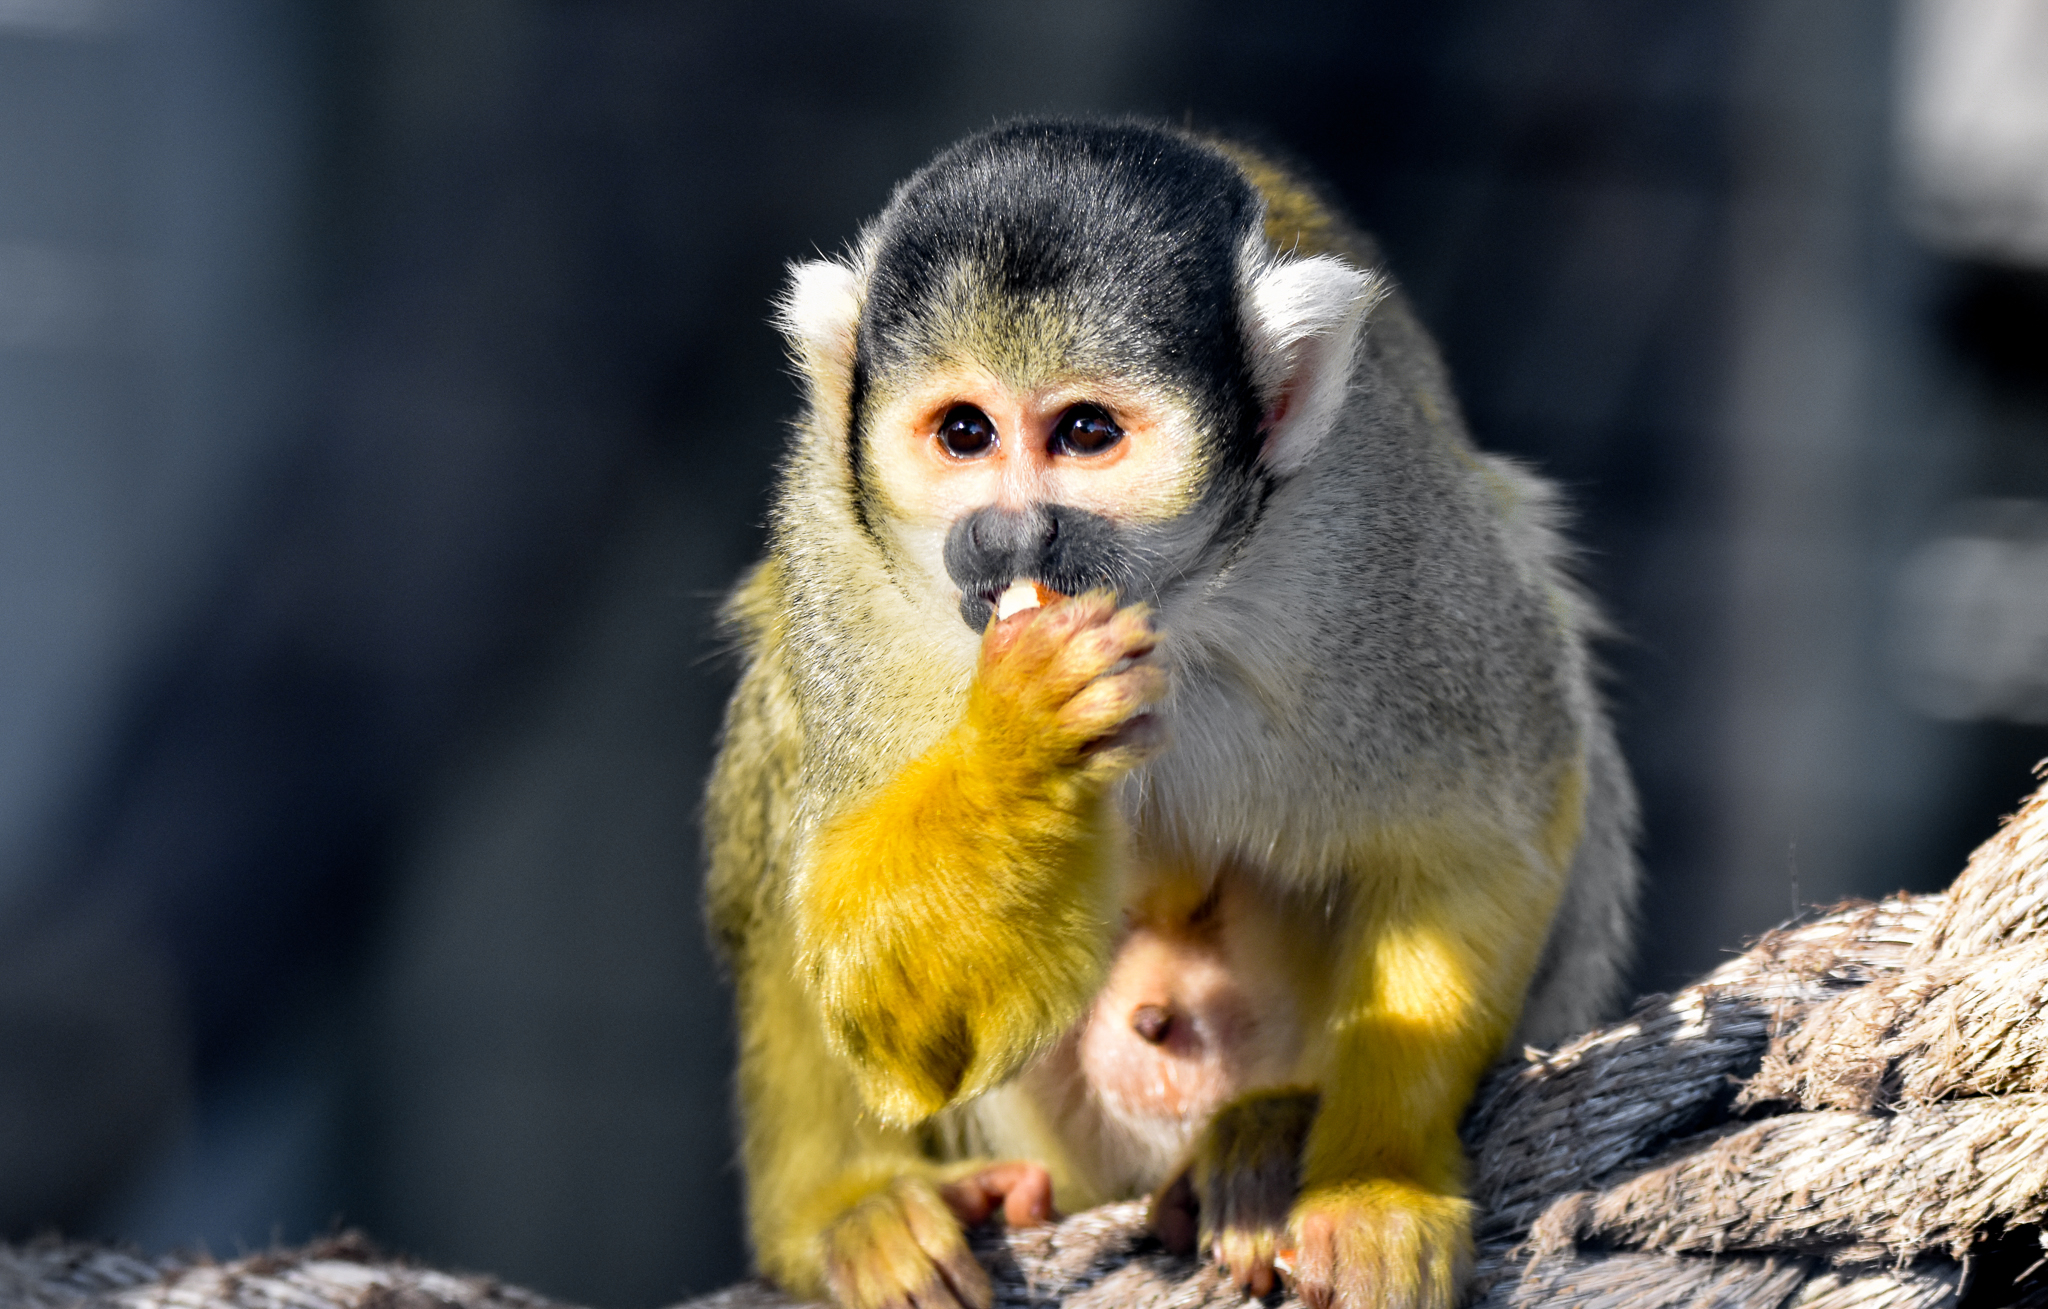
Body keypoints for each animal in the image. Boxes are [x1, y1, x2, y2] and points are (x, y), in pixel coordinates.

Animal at [703, 119, 1638, 1309]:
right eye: (963, 432)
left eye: (1083, 430)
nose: (1010, 538)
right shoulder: (839, 547)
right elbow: (889, 1007)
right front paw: (1023, 746)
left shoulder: (1377, 512)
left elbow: (1482, 825)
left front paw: (1374, 1179)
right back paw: (844, 1203)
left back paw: (1267, 1138)